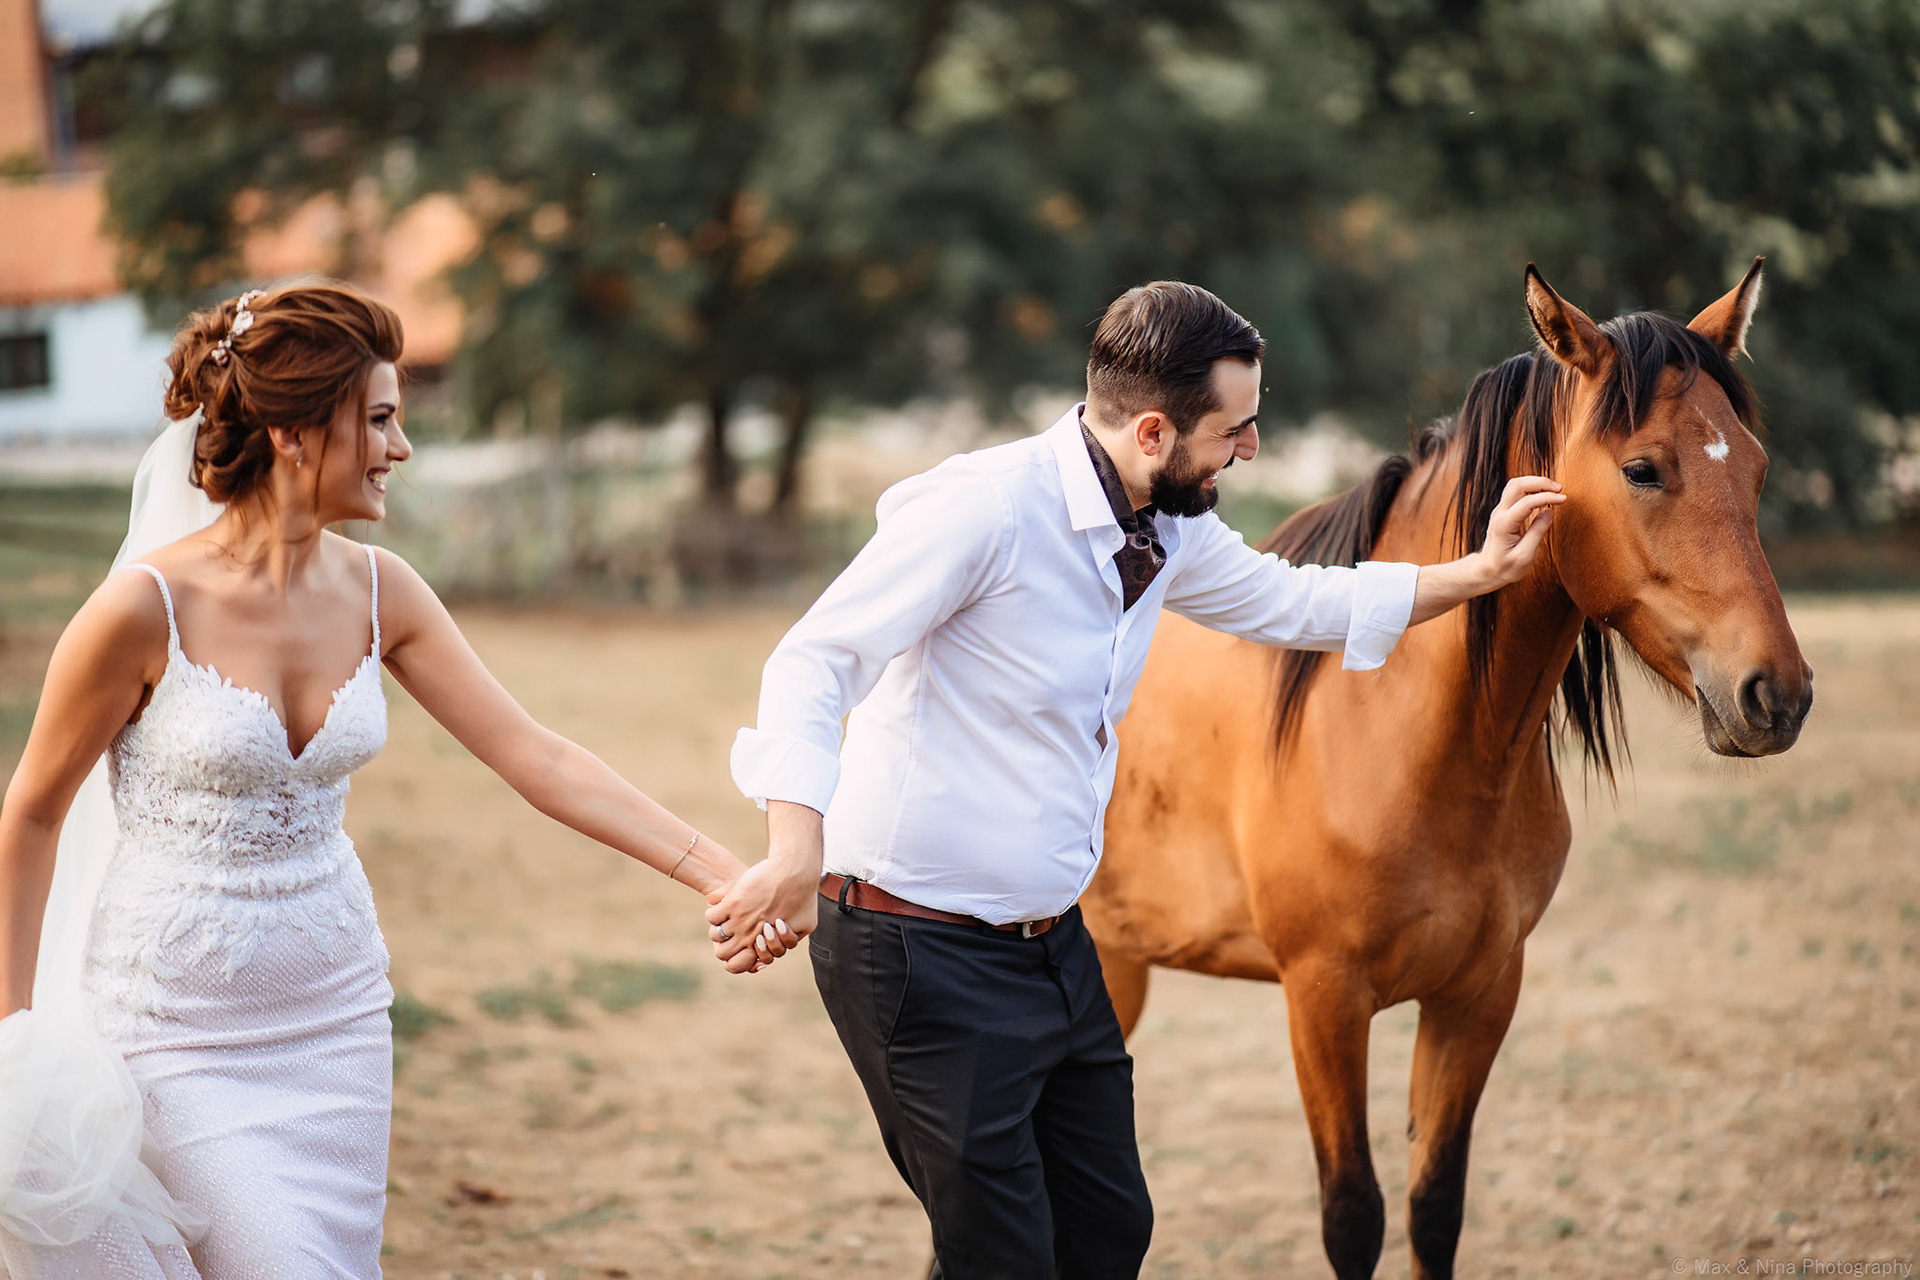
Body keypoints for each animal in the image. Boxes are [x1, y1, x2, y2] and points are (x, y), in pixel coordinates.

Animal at [1081, 261, 1813, 1279]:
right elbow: (1354, 1215)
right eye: (1643, 468)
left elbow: (1435, 1206)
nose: (1776, 695)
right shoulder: (1323, 1002)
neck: (1403, 733)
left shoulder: (1477, 996)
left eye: (1754, 466)